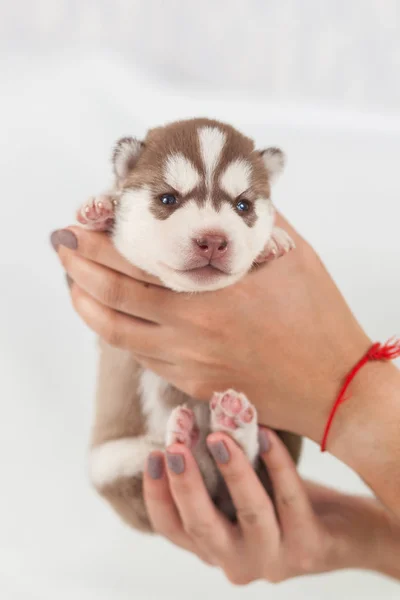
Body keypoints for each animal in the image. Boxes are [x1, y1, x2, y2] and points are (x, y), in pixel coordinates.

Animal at [78, 119, 302, 532]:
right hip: (114, 464)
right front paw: (100, 208)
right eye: (168, 199)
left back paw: (231, 426)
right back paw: (184, 440)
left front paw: (271, 241)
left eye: (243, 205)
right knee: (187, 469)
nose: (212, 240)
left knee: (238, 465)